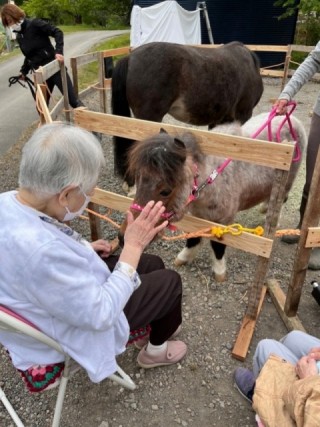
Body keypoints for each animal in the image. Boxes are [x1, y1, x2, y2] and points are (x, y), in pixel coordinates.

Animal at [125, 112, 308, 282]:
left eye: (165, 191)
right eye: (138, 179)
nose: (123, 235)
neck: (213, 180)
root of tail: (293, 120)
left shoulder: (223, 220)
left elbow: (218, 244)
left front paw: (219, 271)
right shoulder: (197, 216)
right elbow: (193, 237)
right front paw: (184, 257)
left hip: (286, 183)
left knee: (280, 201)